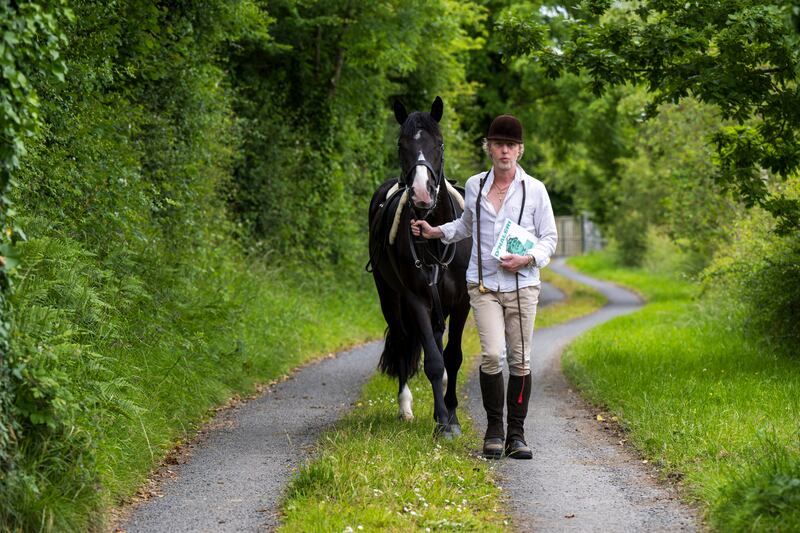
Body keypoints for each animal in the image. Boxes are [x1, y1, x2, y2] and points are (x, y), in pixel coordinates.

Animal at [367, 96, 471, 439]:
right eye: (401, 145)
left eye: (439, 143)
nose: (423, 193)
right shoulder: (416, 300)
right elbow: (434, 363)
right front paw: (441, 422)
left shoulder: (462, 302)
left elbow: (452, 357)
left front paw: (452, 417)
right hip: (389, 297)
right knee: (402, 341)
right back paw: (405, 408)